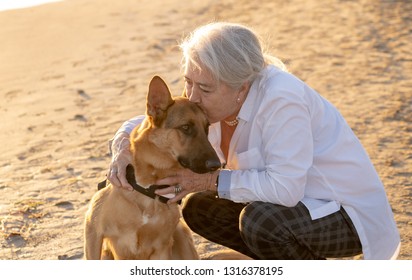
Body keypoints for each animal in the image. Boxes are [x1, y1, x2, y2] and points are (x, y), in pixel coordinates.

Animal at [83, 75, 222, 260]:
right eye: (186, 127)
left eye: (207, 128)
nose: (216, 165)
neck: (149, 187)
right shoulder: (93, 231)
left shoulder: (161, 248)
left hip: (181, 235)